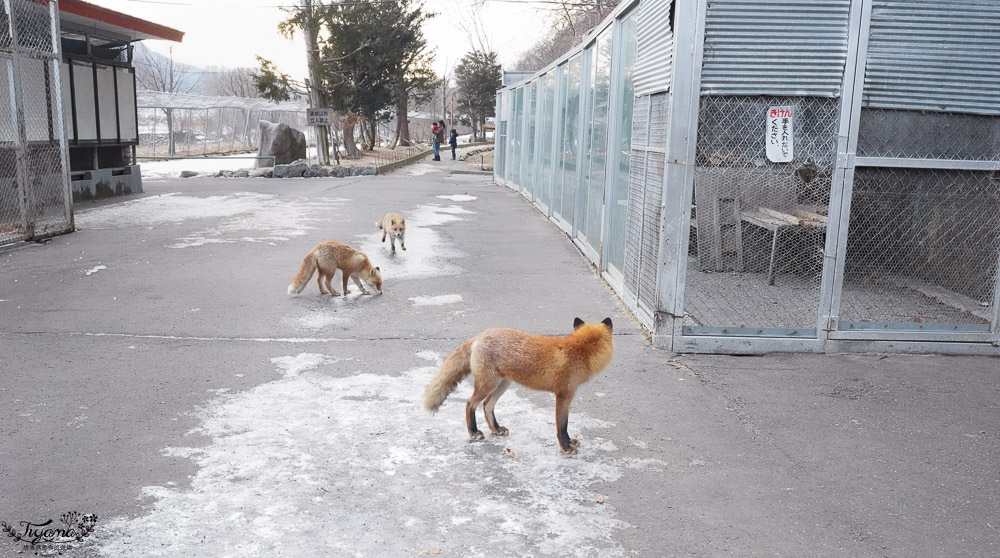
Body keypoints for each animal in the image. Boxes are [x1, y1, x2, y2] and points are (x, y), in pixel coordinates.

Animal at [420, 320, 612, 456]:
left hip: (503, 384)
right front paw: (565, 447)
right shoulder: (564, 395)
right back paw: (473, 432)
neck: (579, 350)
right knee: (470, 403)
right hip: (488, 384)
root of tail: (480, 335)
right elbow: (561, 426)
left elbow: (564, 427)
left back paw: (496, 429)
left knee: (487, 405)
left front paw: (570, 442)